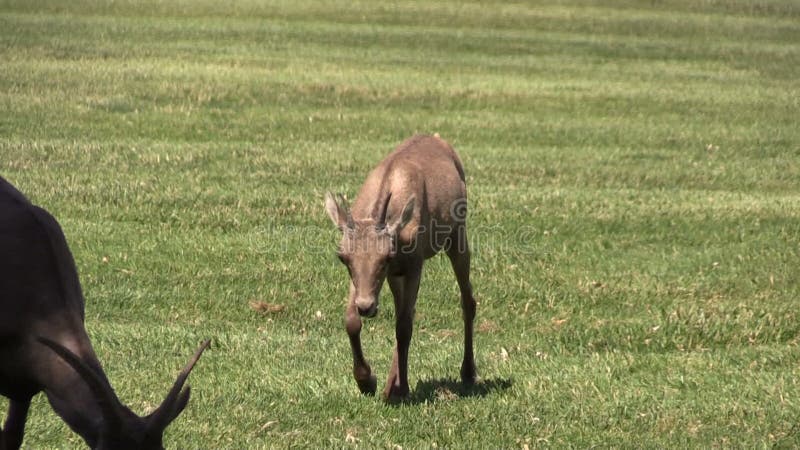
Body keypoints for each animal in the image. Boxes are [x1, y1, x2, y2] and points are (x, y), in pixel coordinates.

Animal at [324, 134, 478, 400]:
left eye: (386, 256)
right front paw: (367, 381)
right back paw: (389, 385)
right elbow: (352, 321)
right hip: (397, 276)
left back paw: (468, 372)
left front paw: (403, 389)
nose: (367, 306)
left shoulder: (415, 263)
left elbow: (405, 326)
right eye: (343, 257)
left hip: (457, 233)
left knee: (467, 299)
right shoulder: (376, 276)